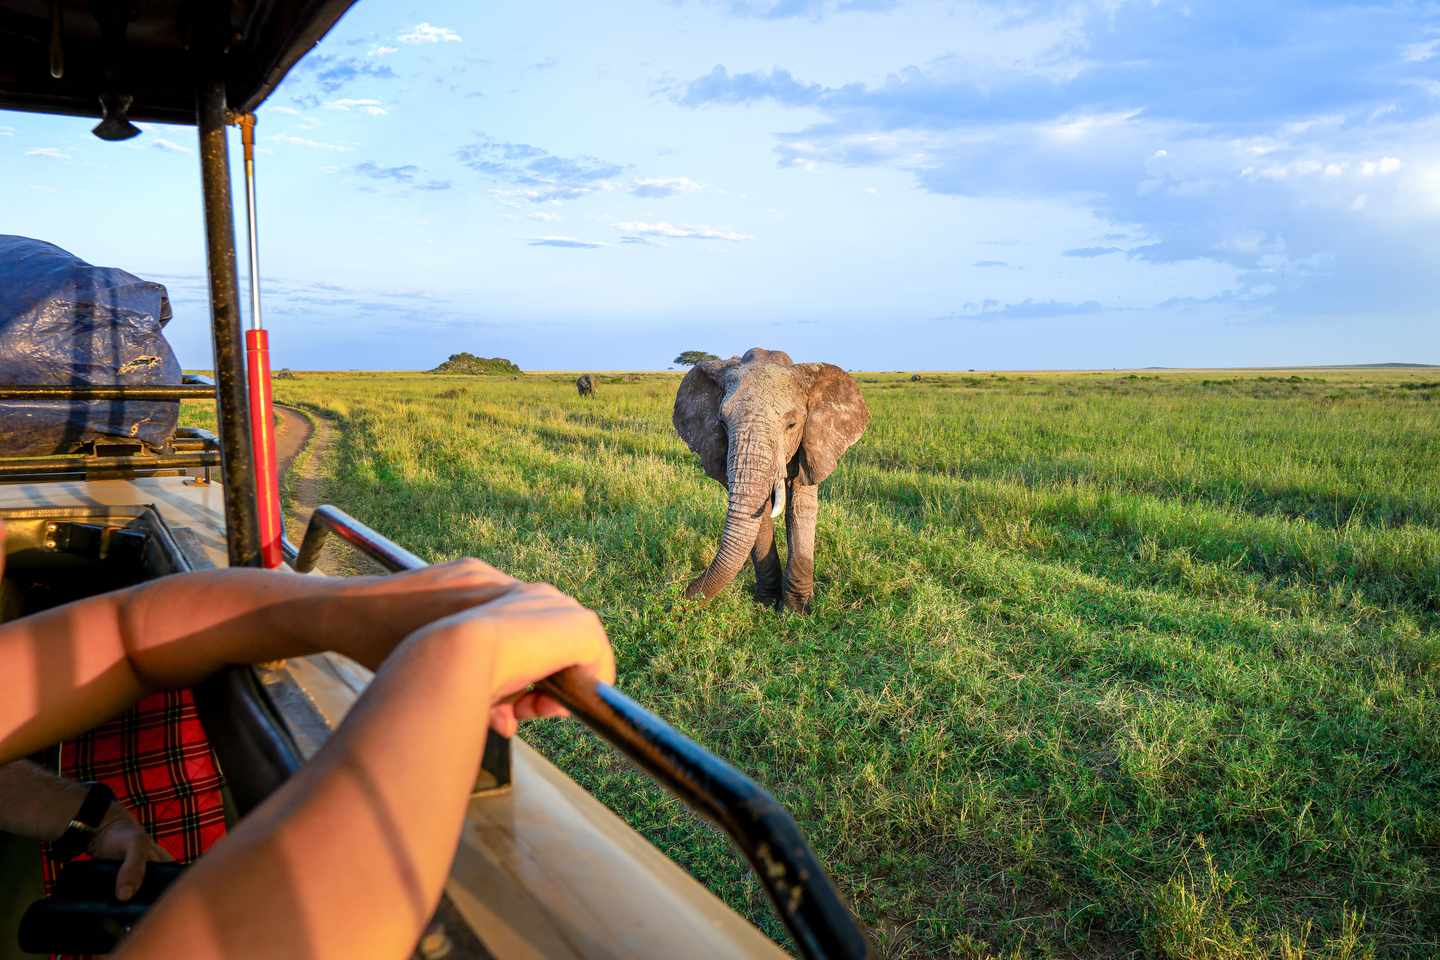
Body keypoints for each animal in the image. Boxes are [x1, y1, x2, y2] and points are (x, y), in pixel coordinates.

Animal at [673, 347, 869, 612]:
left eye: (792, 424)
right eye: (721, 423)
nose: (679, 598)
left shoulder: (813, 442)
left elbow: (800, 506)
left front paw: (796, 610)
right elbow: (761, 513)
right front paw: (766, 603)